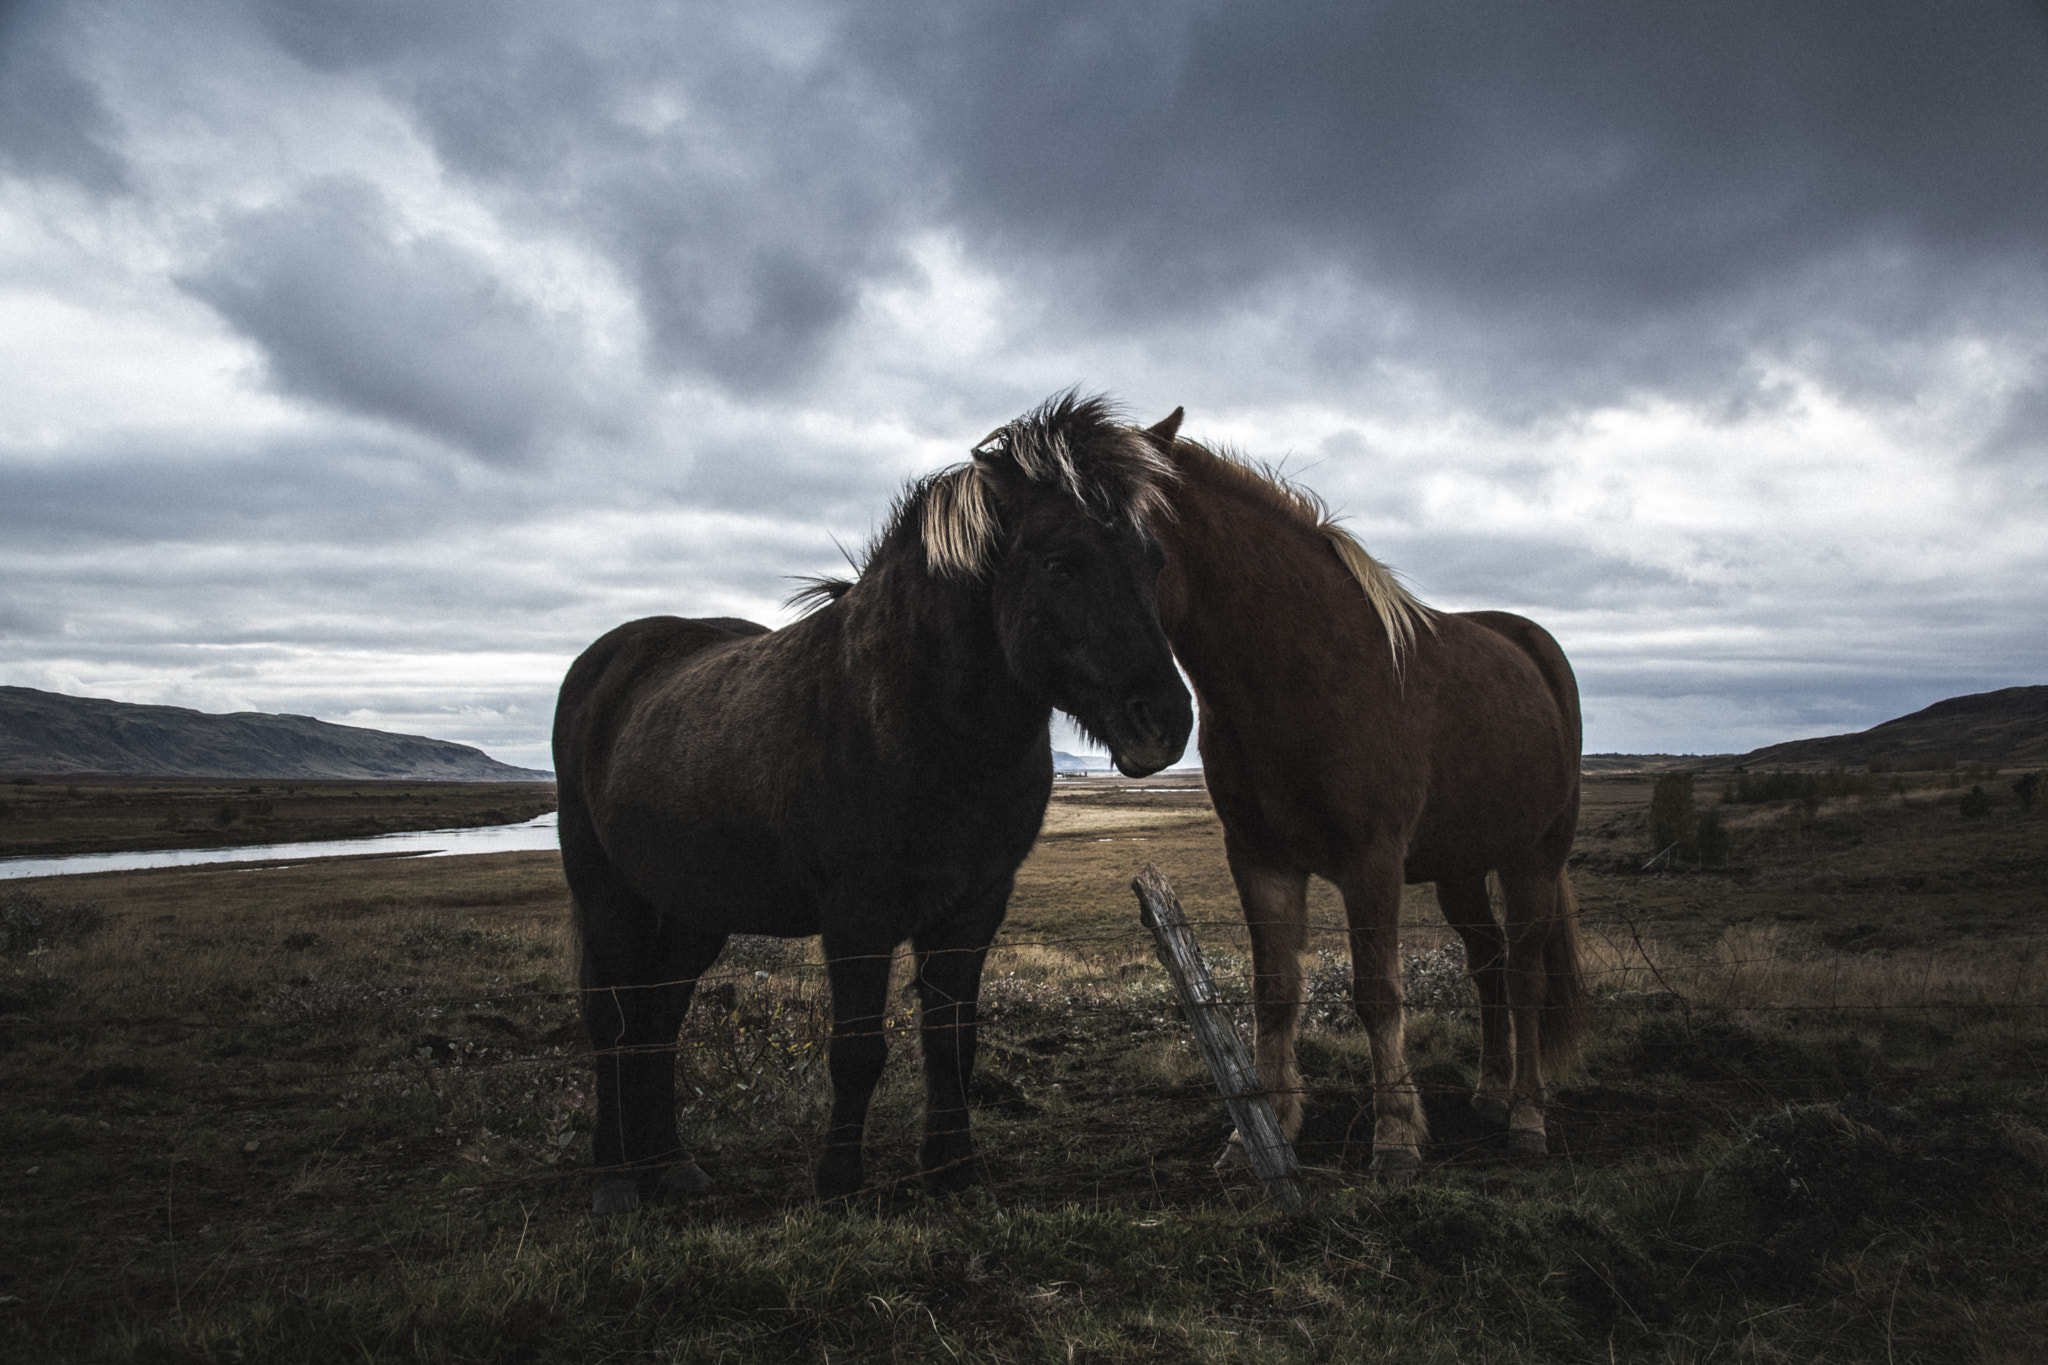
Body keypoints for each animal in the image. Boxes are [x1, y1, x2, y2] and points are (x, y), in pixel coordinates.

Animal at [554, 394, 1193, 1213]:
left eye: (1154, 559)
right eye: (1061, 562)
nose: (1164, 722)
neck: (914, 720)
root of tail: (606, 660)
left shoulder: (975, 905)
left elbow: (953, 1039)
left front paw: (954, 1170)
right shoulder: (857, 912)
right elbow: (858, 1049)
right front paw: (838, 1184)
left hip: (694, 903)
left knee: (660, 1015)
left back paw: (671, 1165)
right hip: (604, 888)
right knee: (611, 1018)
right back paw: (613, 1180)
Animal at [1134, 407, 1587, 1177]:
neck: (1304, 668)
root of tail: (1535, 648)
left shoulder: (1372, 861)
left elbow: (1378, 994)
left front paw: (1396, 1136)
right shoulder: (1260, 859)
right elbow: (1275, 993)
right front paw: (1261, 1135)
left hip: (1534, 857)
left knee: (1524, 976)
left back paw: (1527, 1117)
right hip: (1461, 869)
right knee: (1489, 965)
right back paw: (1491, 1094)